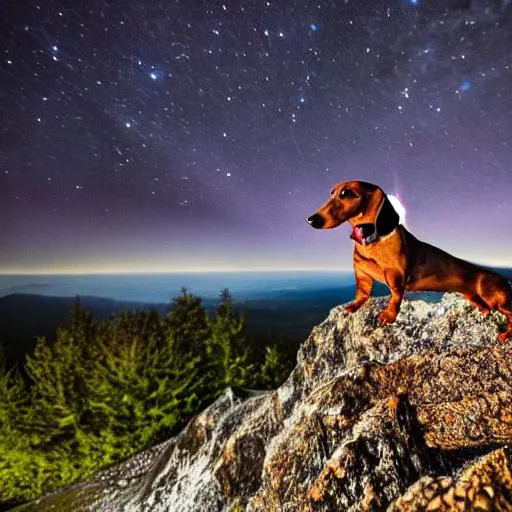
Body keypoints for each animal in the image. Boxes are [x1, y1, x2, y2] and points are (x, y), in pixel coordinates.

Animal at [308, 182, 512, 342]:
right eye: (332, 193)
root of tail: (505, 280)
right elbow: (362, 295)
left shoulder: (396, 279)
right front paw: (353, 306)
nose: (311, 219)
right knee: (486, 308)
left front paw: (388, 316)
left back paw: (505, 335)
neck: (371, 242)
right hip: (473, 296)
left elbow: (395, 299)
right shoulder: (362, 276)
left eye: (347, 193)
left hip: (494, 298)